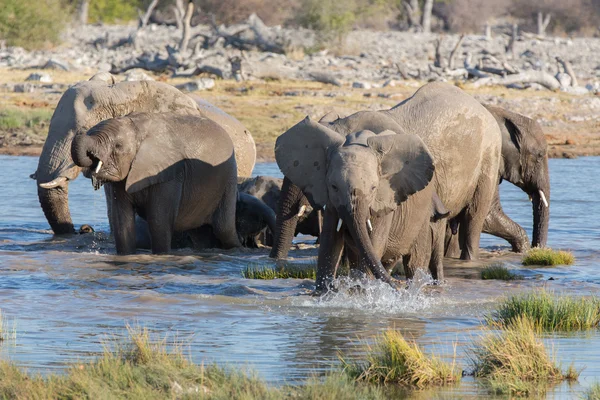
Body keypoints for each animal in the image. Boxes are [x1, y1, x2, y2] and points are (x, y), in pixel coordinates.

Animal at [70, 112, 239, 255]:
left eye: (118, 146)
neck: (137, 128)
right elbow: (122, 222)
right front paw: (126, 256)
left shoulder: (170, 175)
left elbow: (158, 222)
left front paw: (161, 256)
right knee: (200, 233)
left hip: (229, 177)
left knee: (224, 229)